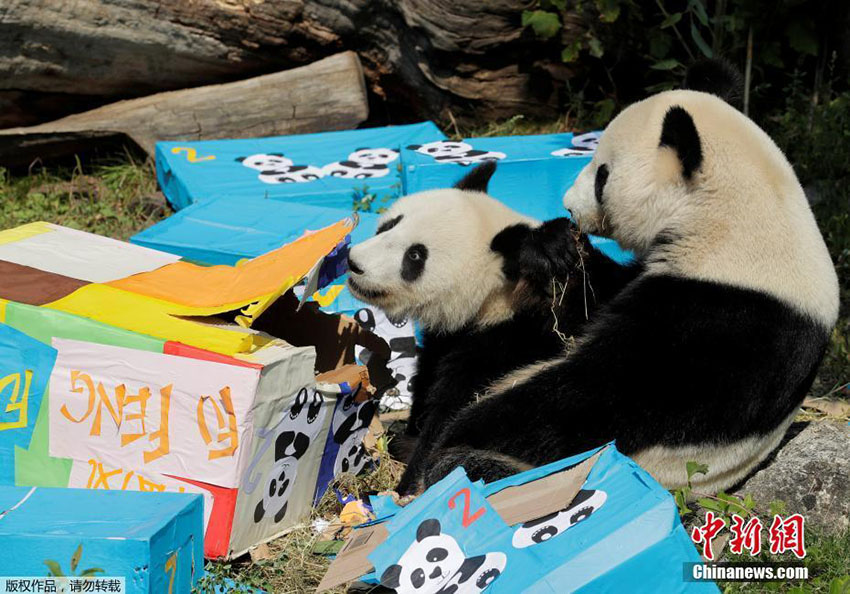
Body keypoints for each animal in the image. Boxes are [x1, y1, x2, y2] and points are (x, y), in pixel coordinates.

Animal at [346, 161, 630, 494]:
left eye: (415, 256)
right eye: (390, 225)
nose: (354, 263)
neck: (497, 297)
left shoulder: (505, 345)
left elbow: (447, 418)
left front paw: (403, 486)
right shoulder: (448, 340)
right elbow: (426, 385)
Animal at [418, 61, 840, 494]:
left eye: (602, 175)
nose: (568, 206)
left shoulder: (717, 319)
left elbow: (597, 397)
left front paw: (462, 430)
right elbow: (589, 299)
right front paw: (552, 246)